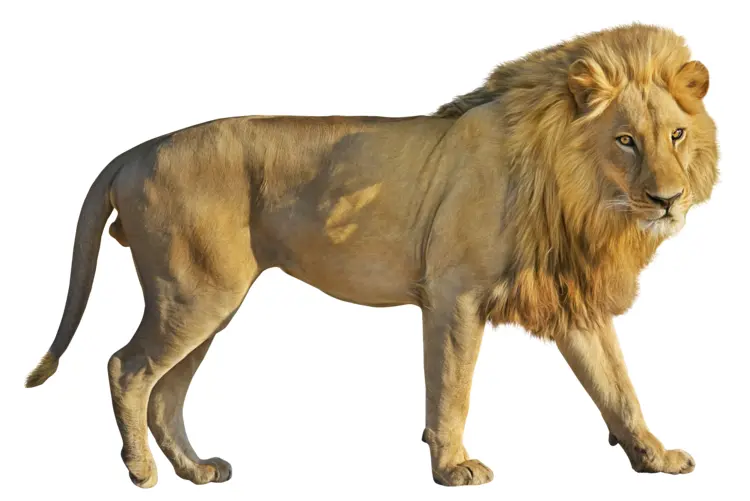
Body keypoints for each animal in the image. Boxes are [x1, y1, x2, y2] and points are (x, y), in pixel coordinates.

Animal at [26, 23, 717, 487]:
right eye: (625, 140)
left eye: (677, 135)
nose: (668, 199)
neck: (580, 195)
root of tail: (135, 150)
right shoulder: (454, 293)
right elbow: (452, 387)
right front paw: (453, 466)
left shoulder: (571, 299)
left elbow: (618, 387)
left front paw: (654, 457)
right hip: (195, 293)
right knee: (126, 368)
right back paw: (141, 473)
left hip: (207, 302)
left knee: (166, 391)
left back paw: (196, 471)